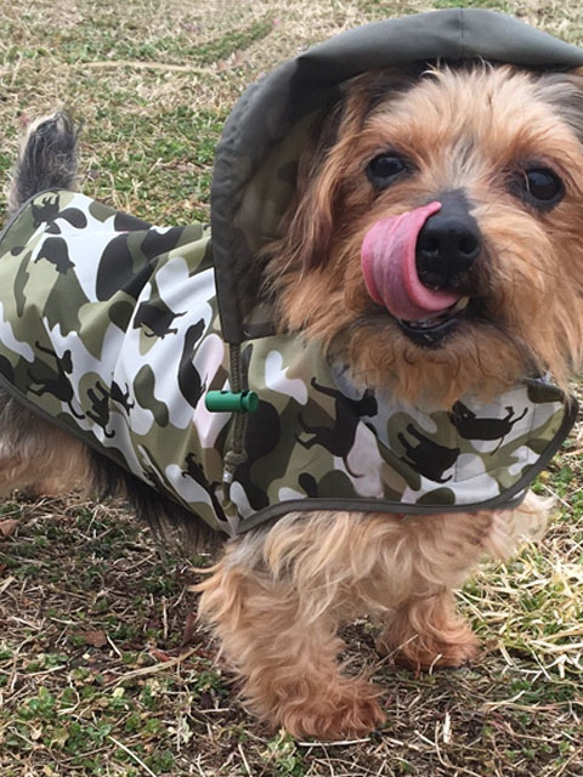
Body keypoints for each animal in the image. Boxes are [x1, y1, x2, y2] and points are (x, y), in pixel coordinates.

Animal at [3, 16, 583, 740]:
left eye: (542, 182)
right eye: (384, 164)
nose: (444, 237)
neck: (426, 393)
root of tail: (36, 204)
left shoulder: (447, 507)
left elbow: (428, 577)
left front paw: (429, 637)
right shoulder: (277, 542)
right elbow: (286, 630)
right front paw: (322, 707)